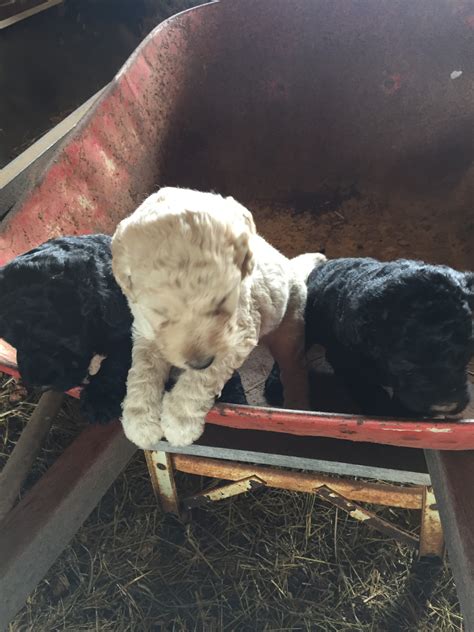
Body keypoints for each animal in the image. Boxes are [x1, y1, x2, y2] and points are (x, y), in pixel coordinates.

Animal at [111, 188, 326, 450]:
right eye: (161, 313)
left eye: (222, 301)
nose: (199, 361)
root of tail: (291, 265)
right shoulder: (144, 329)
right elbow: (144, 368)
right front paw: (140, 420)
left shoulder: (239, 336)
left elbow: (203, 378)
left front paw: (180, 420)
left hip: (289, 324)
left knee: (294, 369)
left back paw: (297, 407)